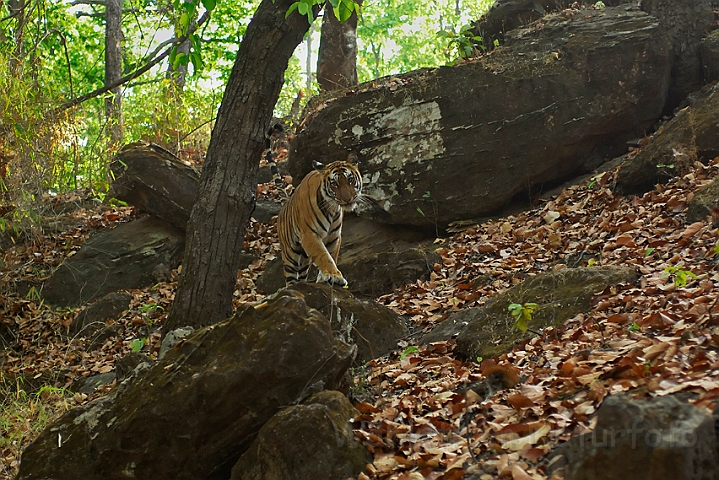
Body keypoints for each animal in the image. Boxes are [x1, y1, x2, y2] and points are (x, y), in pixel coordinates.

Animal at [278, 152, 366, 286]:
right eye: (334, 184)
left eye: (350, 180)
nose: (347, 199)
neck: (332, 209)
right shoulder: (310, 235)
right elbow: (323, 256)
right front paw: (334, 275)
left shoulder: (334, 237)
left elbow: (331, 256)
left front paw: (325, 279)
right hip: (290, 255)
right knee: (290, 277)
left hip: (304, 261)